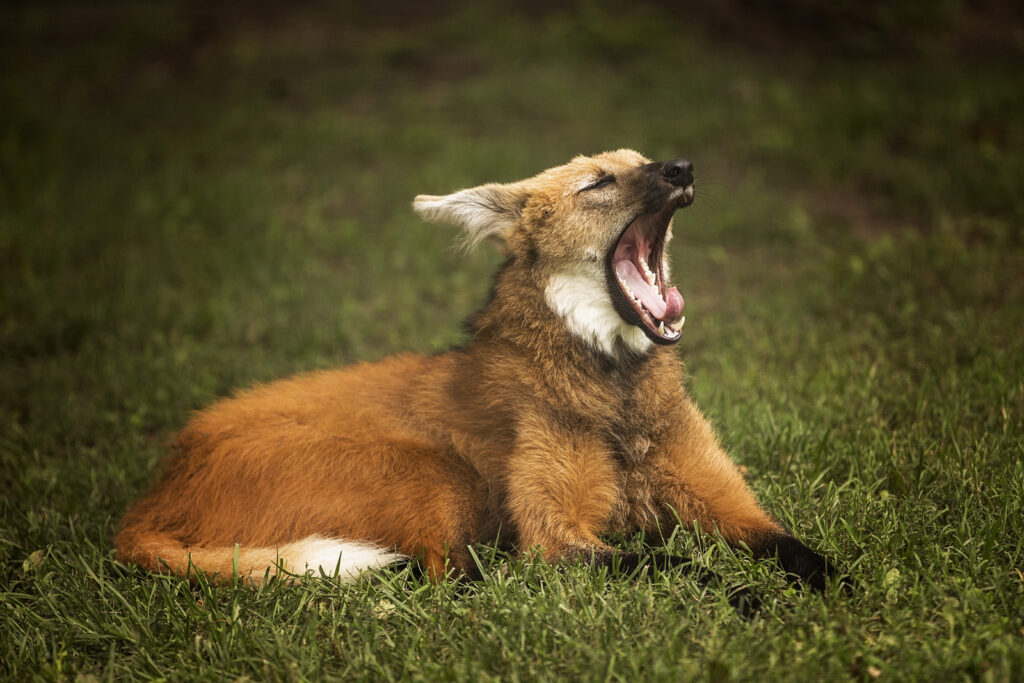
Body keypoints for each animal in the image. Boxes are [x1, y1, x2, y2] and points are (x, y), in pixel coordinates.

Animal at [115, 149, 839, 595]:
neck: (617, 390)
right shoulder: (557, 537)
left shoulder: (723, 503)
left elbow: (794, 547)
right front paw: (747, 596)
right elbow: (678, 564)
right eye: (598, 182)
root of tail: (154, 492)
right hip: (432, 467)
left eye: (641, 162)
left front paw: (840, 592)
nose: (681, 166)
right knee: (450, 579)